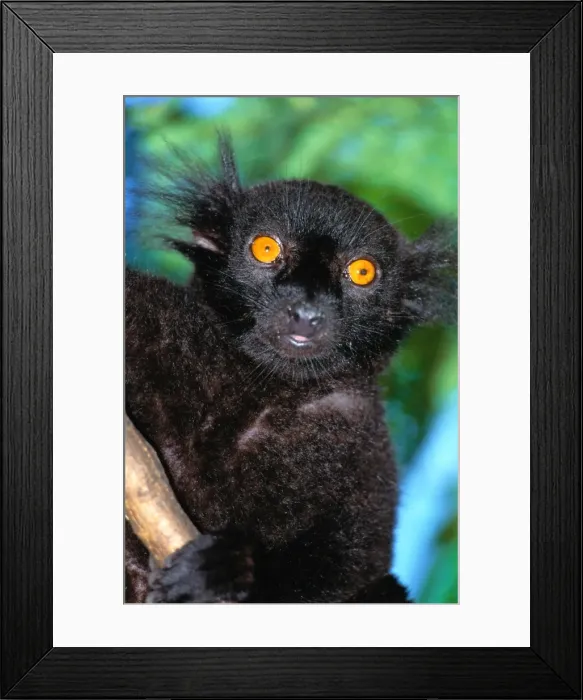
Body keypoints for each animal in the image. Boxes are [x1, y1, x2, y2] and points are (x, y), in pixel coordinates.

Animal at [125, 136, 457, 603]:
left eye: (362, 272)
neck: (258, 382)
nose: (306, 312)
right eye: (266, 248)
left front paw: (226, 570)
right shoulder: (155, 318)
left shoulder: (361, 441)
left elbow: (349, 562)